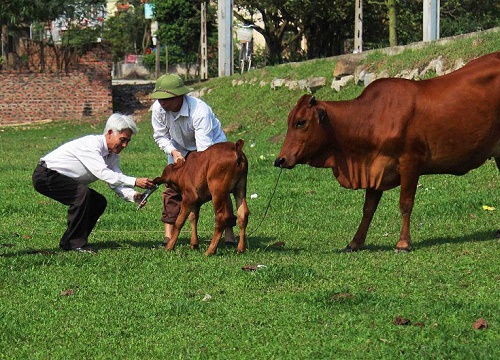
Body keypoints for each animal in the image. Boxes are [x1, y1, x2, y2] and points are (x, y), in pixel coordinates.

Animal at [274, 51, 500, 250]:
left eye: (300, 122)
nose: (280, 160)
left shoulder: (411, 162)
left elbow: (405, 203)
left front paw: (403, 243)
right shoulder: (374, 167)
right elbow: (368, 208)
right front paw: (355, 242)